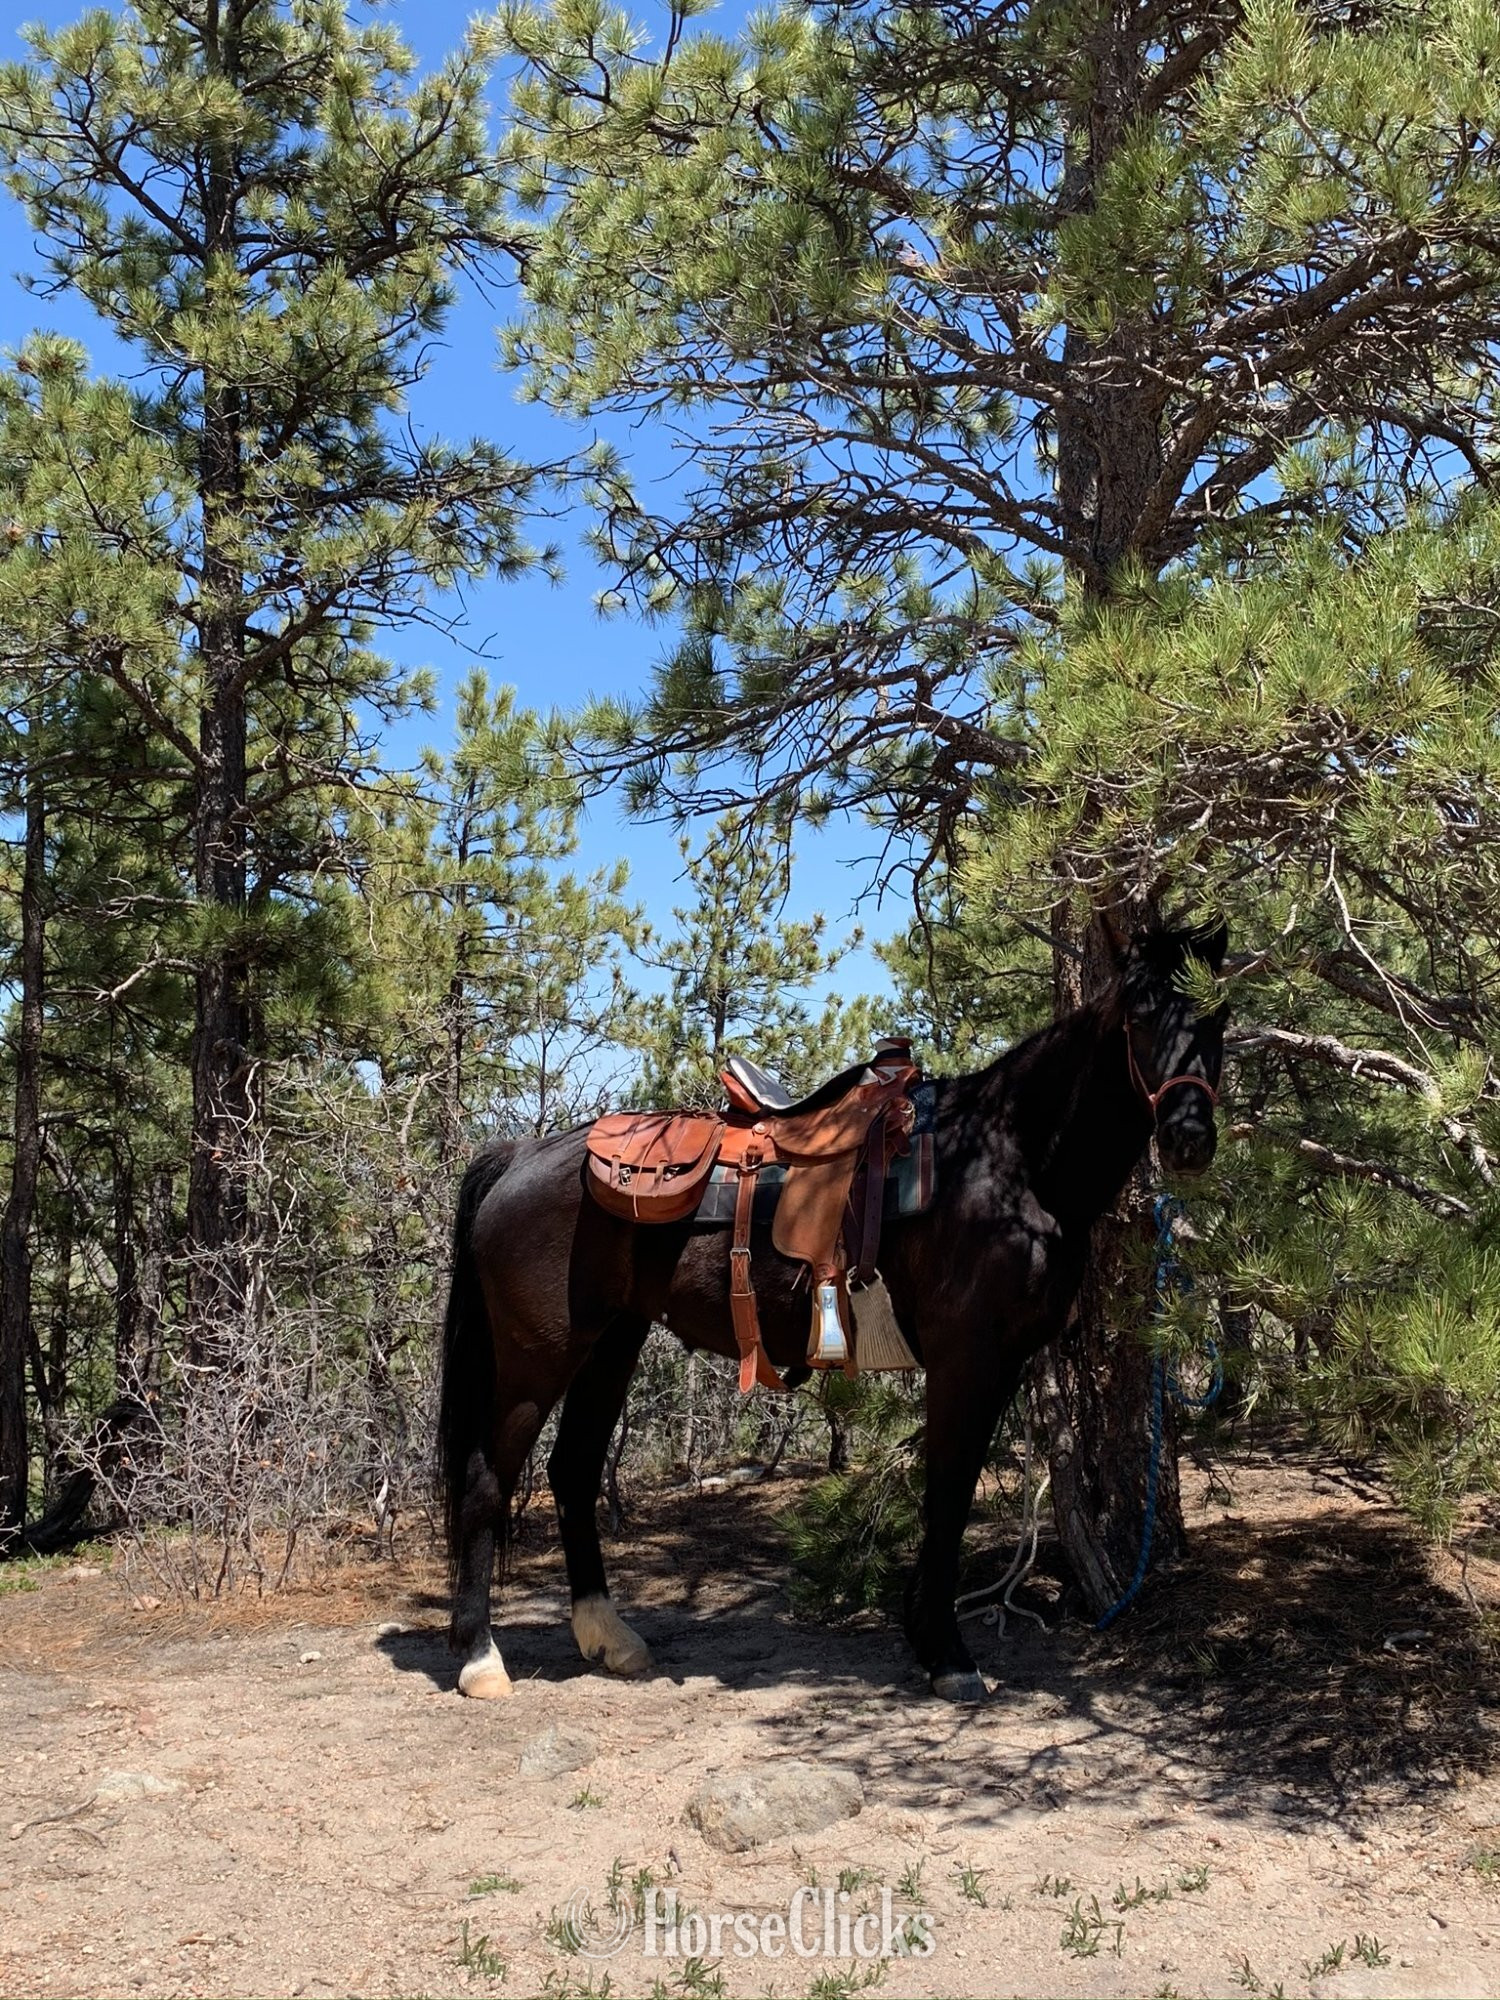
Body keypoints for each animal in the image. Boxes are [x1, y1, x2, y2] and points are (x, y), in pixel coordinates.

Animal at [437, 916, 1228, 1704]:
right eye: (1139, 1015)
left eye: (1216, 1015)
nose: (1189, 1139)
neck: (1009, 1162)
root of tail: (522, 1155)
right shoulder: (965, 1359)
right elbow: (947, 1495)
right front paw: (948, 1654)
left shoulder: (1000, 1365)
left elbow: (954, 1489)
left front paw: (927, 1635)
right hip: (539, 1356)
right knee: (486, 1481)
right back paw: (480, 1656)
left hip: (612, 1342)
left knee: (572, 1470)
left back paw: (610, 1637)